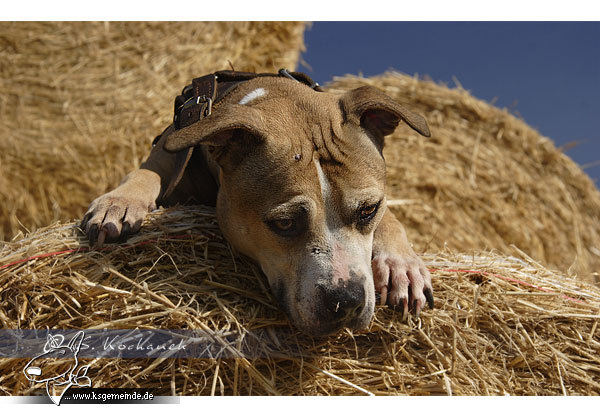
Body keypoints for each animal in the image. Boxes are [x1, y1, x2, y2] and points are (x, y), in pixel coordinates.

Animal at [81, 69, 436, 334]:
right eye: (284, 223)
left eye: (368, 210)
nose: (346, 301)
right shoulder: (168, 152)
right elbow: (145, 173)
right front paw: (119, 201)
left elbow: (392, 218)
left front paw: (402, 263)